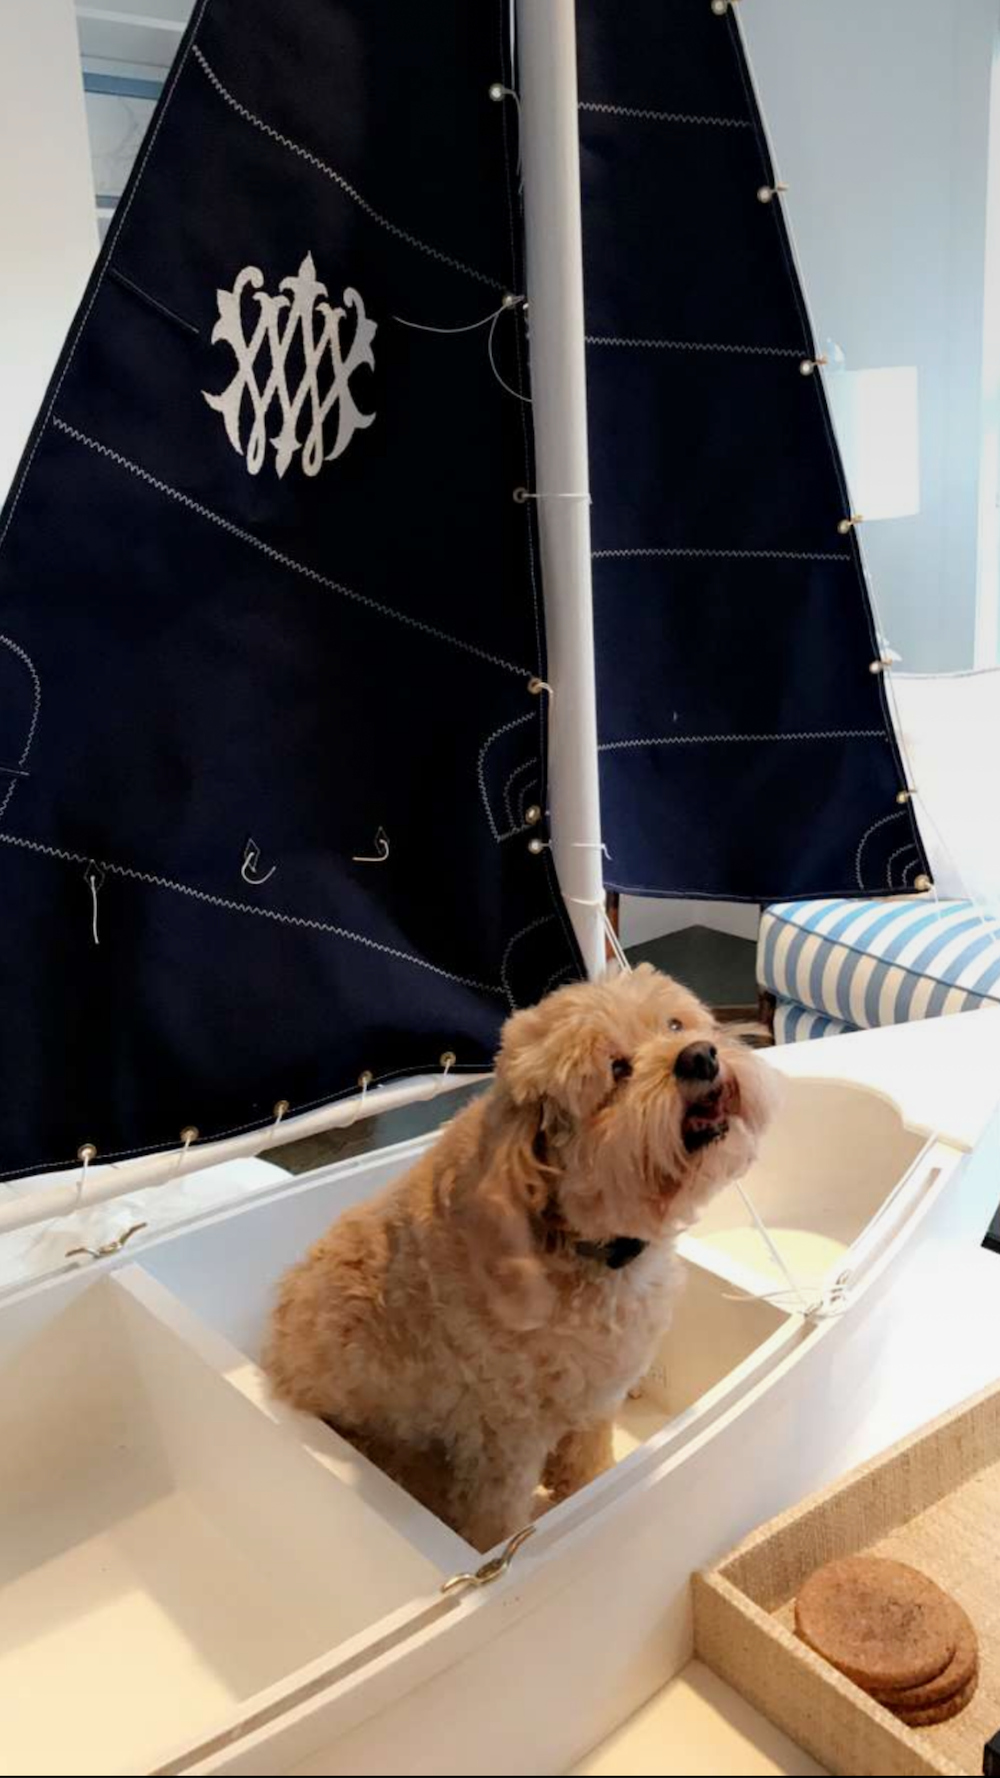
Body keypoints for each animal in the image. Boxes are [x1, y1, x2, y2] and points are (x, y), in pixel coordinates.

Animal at [264, 965, 775, 1552]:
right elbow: (498, 1522)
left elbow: (587, 1468)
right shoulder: (502, 1439)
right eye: (616, 1070)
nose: (700, 1056)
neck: (580, 1245)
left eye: (674, 1024)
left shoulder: (593, 1403)